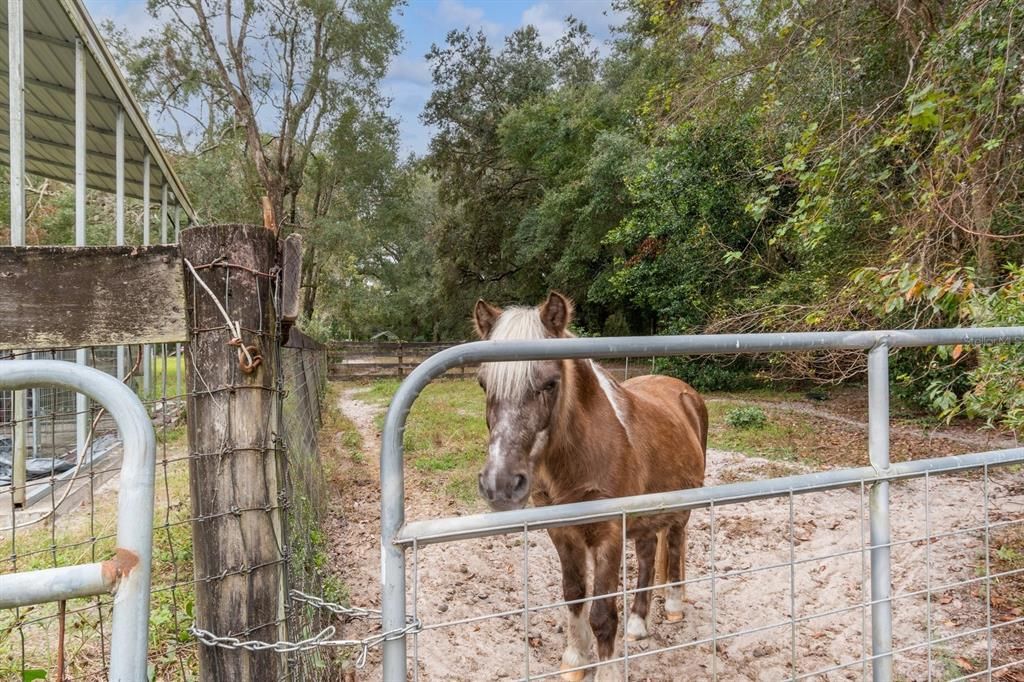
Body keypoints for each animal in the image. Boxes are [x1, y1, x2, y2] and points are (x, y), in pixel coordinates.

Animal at [473, 292, 708, 679]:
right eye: (483, 384)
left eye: (550, 383)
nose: (501, 483)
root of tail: (685, 392)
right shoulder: (562, 532)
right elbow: (574, 595)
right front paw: (575, 660)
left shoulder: (608, 534)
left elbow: (602, 615)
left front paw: (608, 670)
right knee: (647, 556)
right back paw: (638, 623)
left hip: (681, 507)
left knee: (674, 545)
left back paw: (673, 605)